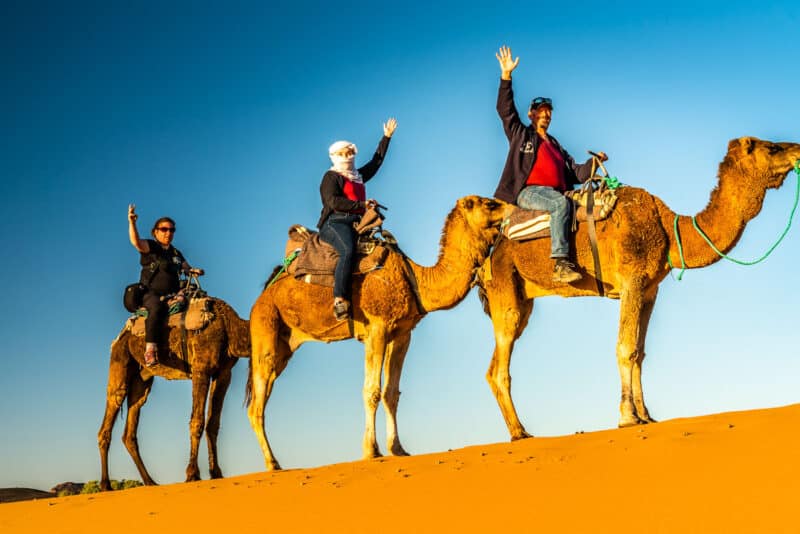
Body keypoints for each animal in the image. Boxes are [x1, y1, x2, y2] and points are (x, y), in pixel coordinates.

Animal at [99, 300, 250, 492]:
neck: (229, 326)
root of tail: (120, 335)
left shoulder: (224, 373)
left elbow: (213, 424)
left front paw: (216, 472)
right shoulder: (201, 368)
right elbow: (197, 422)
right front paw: (192, 474)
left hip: (142, 379)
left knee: (131, 425)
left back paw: (150, 481)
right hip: (120, 361)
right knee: (110, 411)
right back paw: (106, 485)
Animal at [247, 195, 504, 472]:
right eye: (489, 204)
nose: (511, 208)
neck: (414, 278)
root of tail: (261, 297)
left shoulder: (402, 334)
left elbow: (392, 393)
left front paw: (398, 449)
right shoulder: (376, 329)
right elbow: (371, 391)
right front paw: (371, 450)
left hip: (284, 346)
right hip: (265, 329)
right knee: (256, 406)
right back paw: (273, 463)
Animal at [478, 137, 800, 440]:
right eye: (771, 148)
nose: (797, 149)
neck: (669, 230)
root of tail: (490, 256)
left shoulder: (648, 291)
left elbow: (640, 353)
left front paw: (646, 416)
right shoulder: (631, 279)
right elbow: (625, 347)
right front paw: (627, 417)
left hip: (522, 300)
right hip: (504, 287)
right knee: (500, 366)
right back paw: (519, 432)